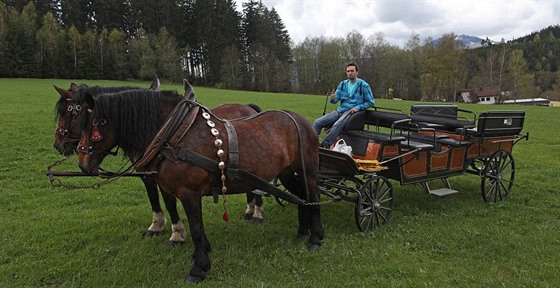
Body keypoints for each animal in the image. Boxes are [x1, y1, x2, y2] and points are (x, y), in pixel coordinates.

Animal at [73, 89, 324, 282]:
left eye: (92, 127)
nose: (82, 163)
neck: (174, 135)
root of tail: (300, 120)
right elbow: (194, 226)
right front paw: (199, 253)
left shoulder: (189, 193)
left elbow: (195, 228)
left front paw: (198, 268)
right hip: (287, 171)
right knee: (301, 198)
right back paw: (302, 231)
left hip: (308, 170)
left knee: (313, 197)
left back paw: (316, 238)